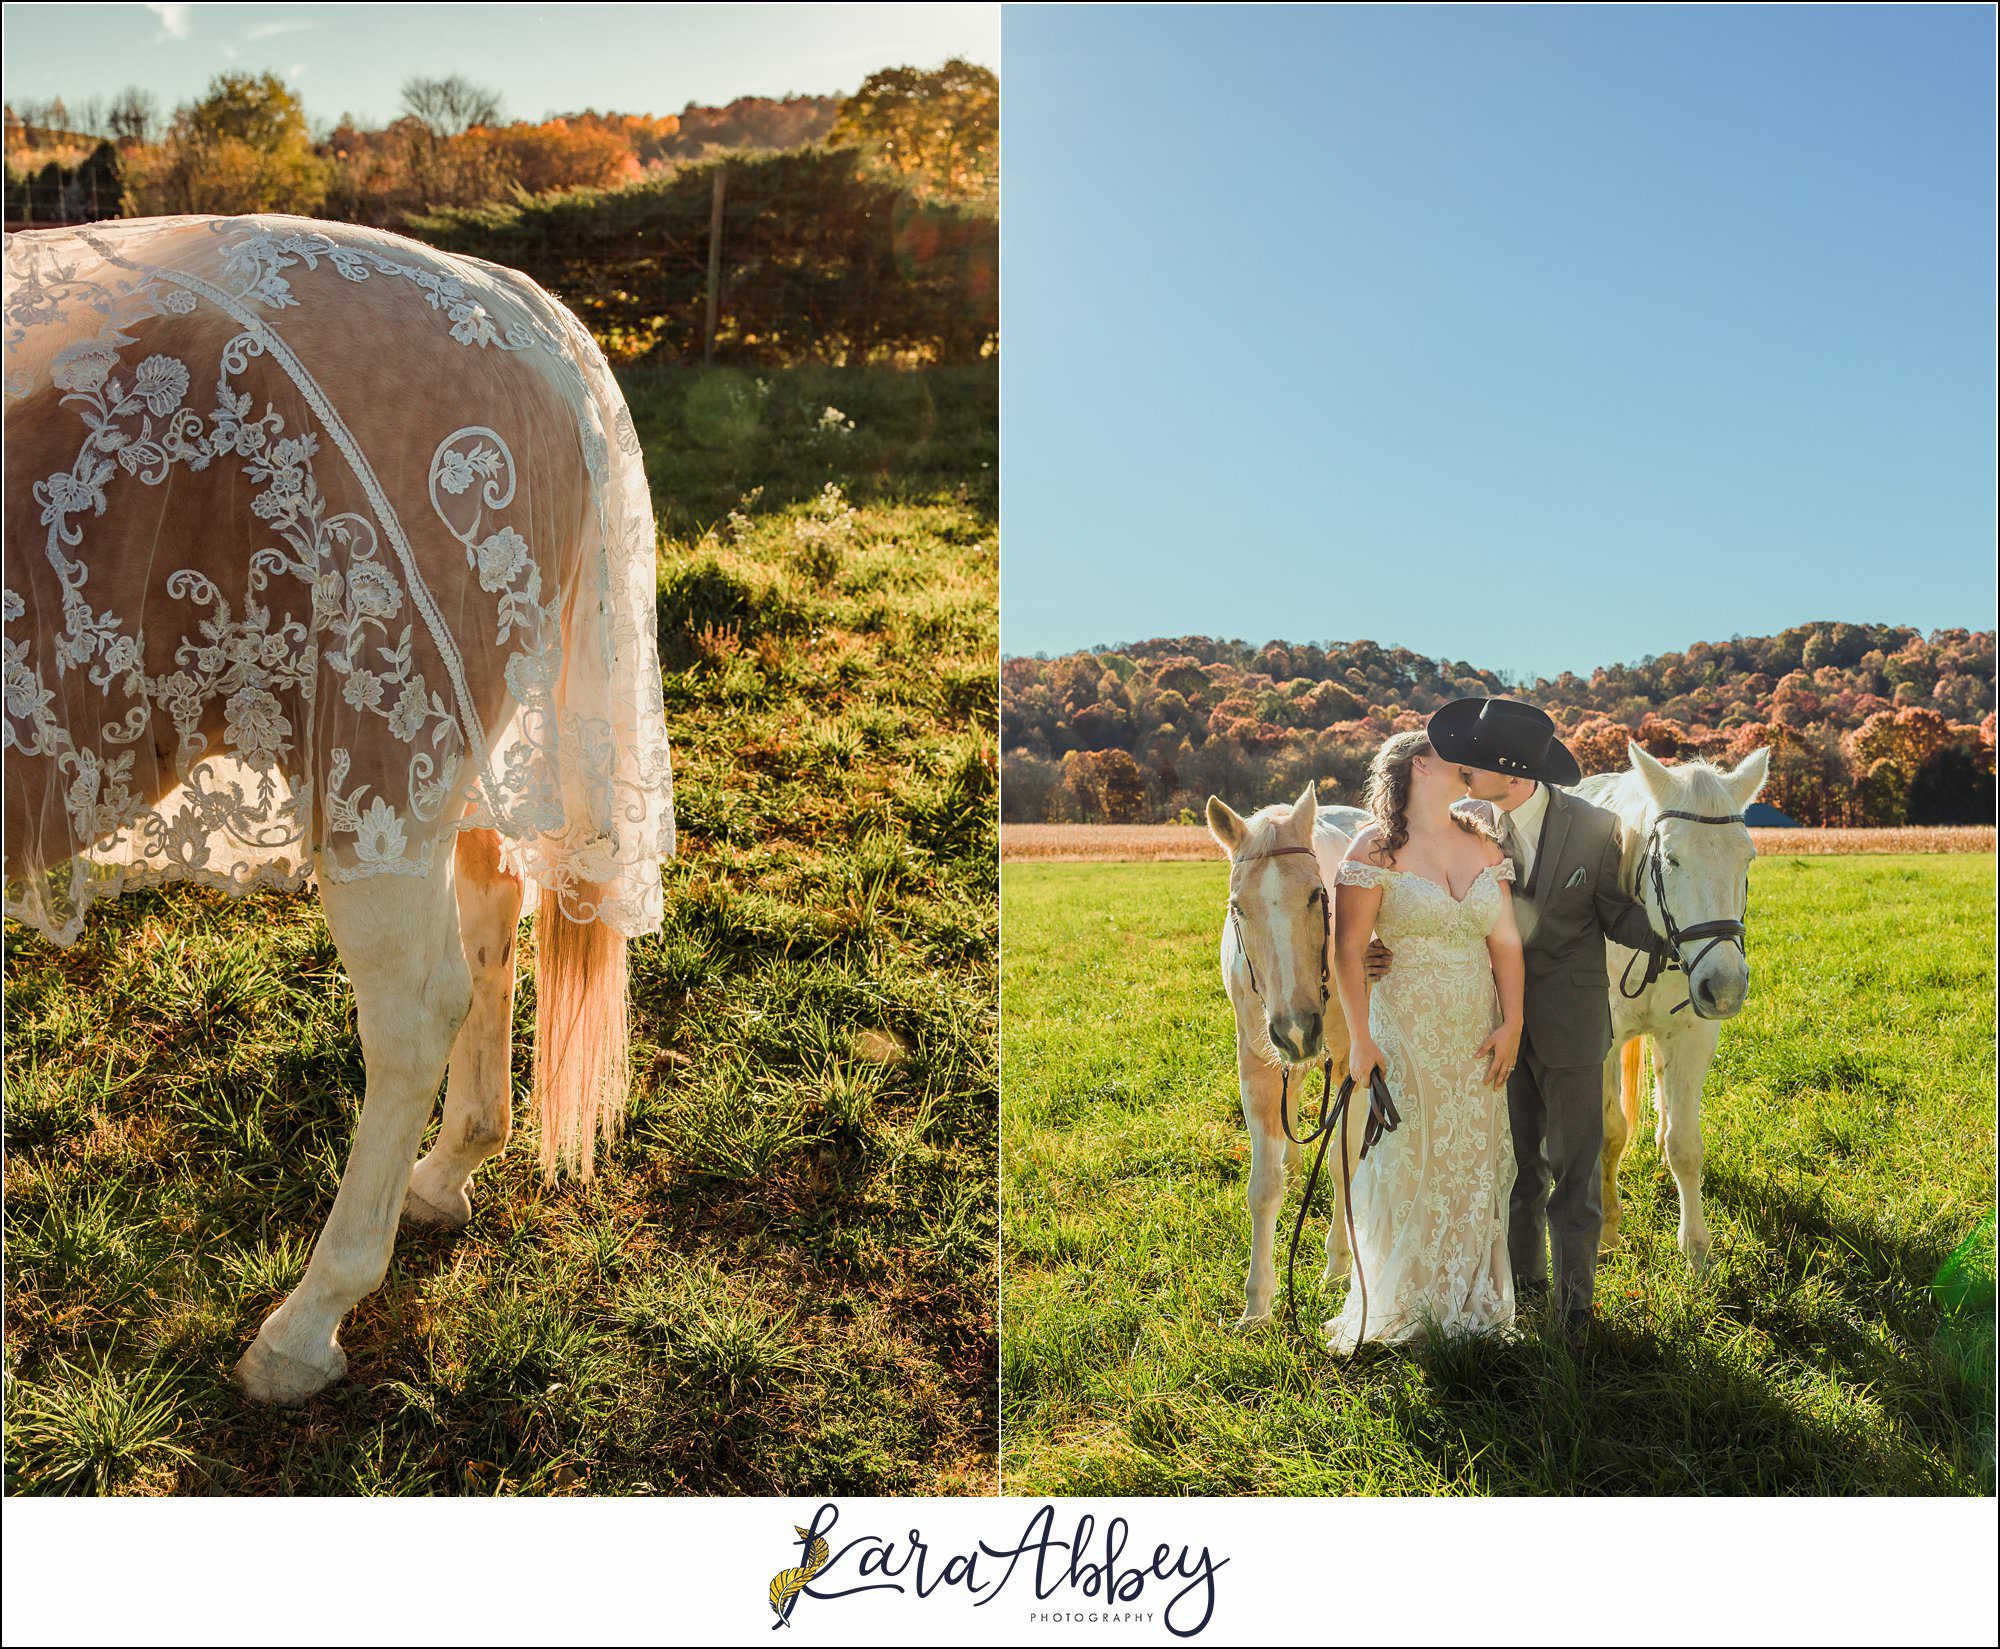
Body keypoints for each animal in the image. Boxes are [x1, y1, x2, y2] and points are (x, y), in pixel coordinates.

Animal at [3, 215, 675, 1404]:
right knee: (491, 910)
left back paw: (307, 1321)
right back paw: (449, 1169)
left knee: (413, 1012)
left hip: (384, 751)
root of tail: (515, 307)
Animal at [1204, 783, 1372, 1329]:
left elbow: (1342, 1168)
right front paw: (1257, 1304)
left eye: (1318, 895)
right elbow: (1263, 1188)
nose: (1297, 1027)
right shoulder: (1257, 1066)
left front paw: (1338, 1267)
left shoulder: (1353, 1068)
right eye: (1238, 907)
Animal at [1575, 743, 1769, 1272]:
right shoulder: (1600, 1041)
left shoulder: (1691, 1035)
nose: (1725, 986)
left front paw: (1696, 1249)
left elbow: (1685, 1145)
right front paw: (1606, 1231)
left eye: (1747, 858)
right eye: (1671, 859)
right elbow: (1609, 1134)